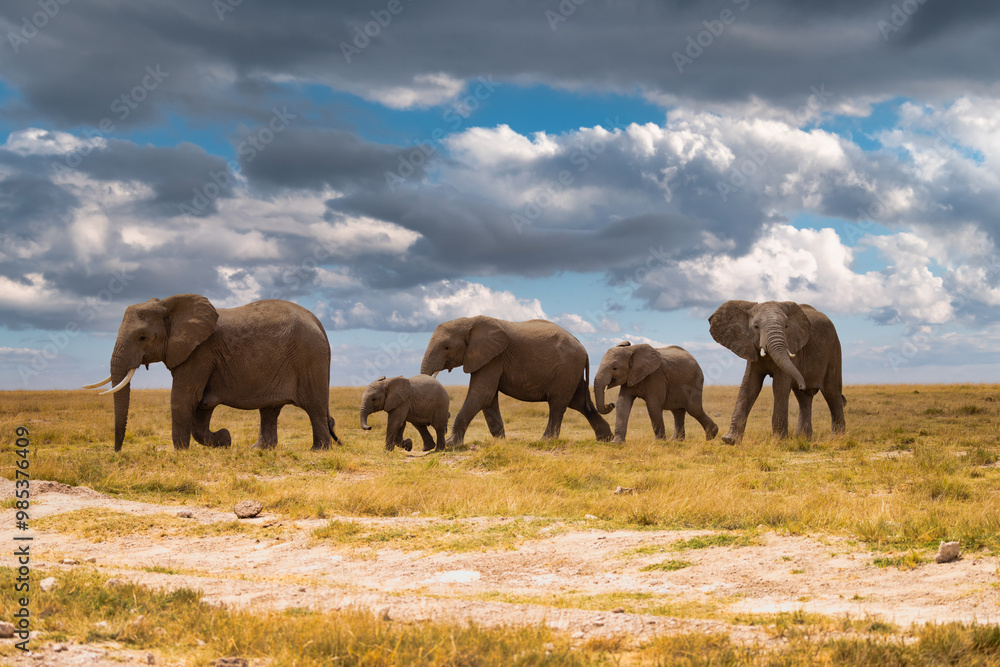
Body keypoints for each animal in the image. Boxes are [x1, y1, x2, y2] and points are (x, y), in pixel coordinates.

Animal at [83, 294, 341, 452]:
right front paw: (224, 440)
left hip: (310, 359)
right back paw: (259, 450)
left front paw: (181, 453)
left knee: (314, 406)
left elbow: (184, 399)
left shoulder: (199, 353)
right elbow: (202, 405)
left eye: (142, 338)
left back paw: (318, 450)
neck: (169, 304)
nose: (117, 451)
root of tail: (318, 322)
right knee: (270, 410)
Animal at [420, 316, 612, 445]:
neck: (469, 321)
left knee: (558, 405)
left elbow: (481, 394)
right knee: (580, 403)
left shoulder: (493, 358)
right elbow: (488, 398)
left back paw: (545, 441)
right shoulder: (490, 358)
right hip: (571, 372)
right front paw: (500, 442)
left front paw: (450, 444)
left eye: (446, 347)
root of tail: (584, 349)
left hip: (566, 369)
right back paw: (605, 439)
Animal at [708, 300, 845, 444]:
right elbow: (749, 386)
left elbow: (780, 386)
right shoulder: (751, 349)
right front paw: (729, 440)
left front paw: (779, 441)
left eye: (786, 326)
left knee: (832, 392)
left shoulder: (791, 345)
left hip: (834, 349)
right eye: (756, 327)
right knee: (803, 398)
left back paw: (836, 438)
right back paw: (802, 438)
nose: (802, 383)